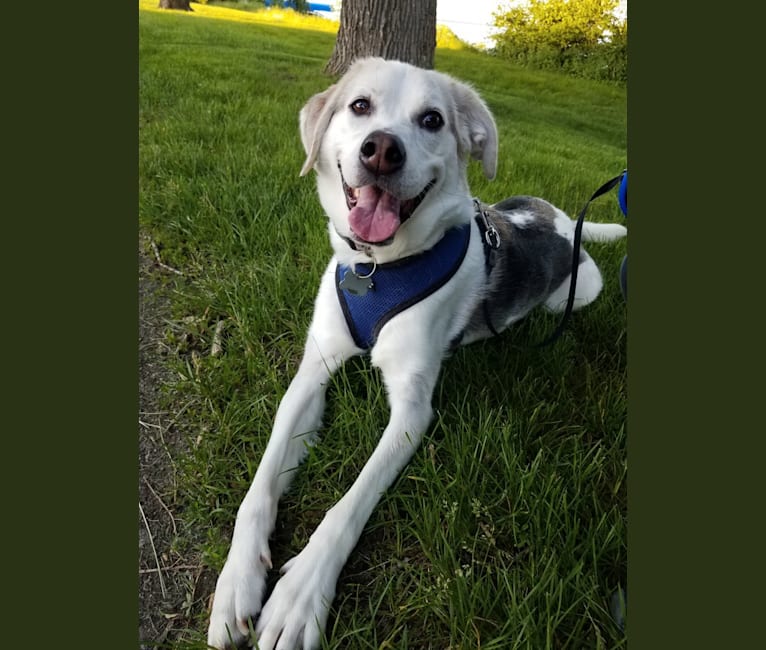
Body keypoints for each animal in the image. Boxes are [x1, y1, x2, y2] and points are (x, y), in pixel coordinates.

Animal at [207, 58, 628, 644]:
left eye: (432, 119)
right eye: (359, 105)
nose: (382, 149)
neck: (377, 268)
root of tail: (565, 220)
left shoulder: (411, 413)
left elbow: (349, 506)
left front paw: (299, 597)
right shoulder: (313, 372)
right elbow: (259, 488)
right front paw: (237, 580)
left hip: (580, 292)